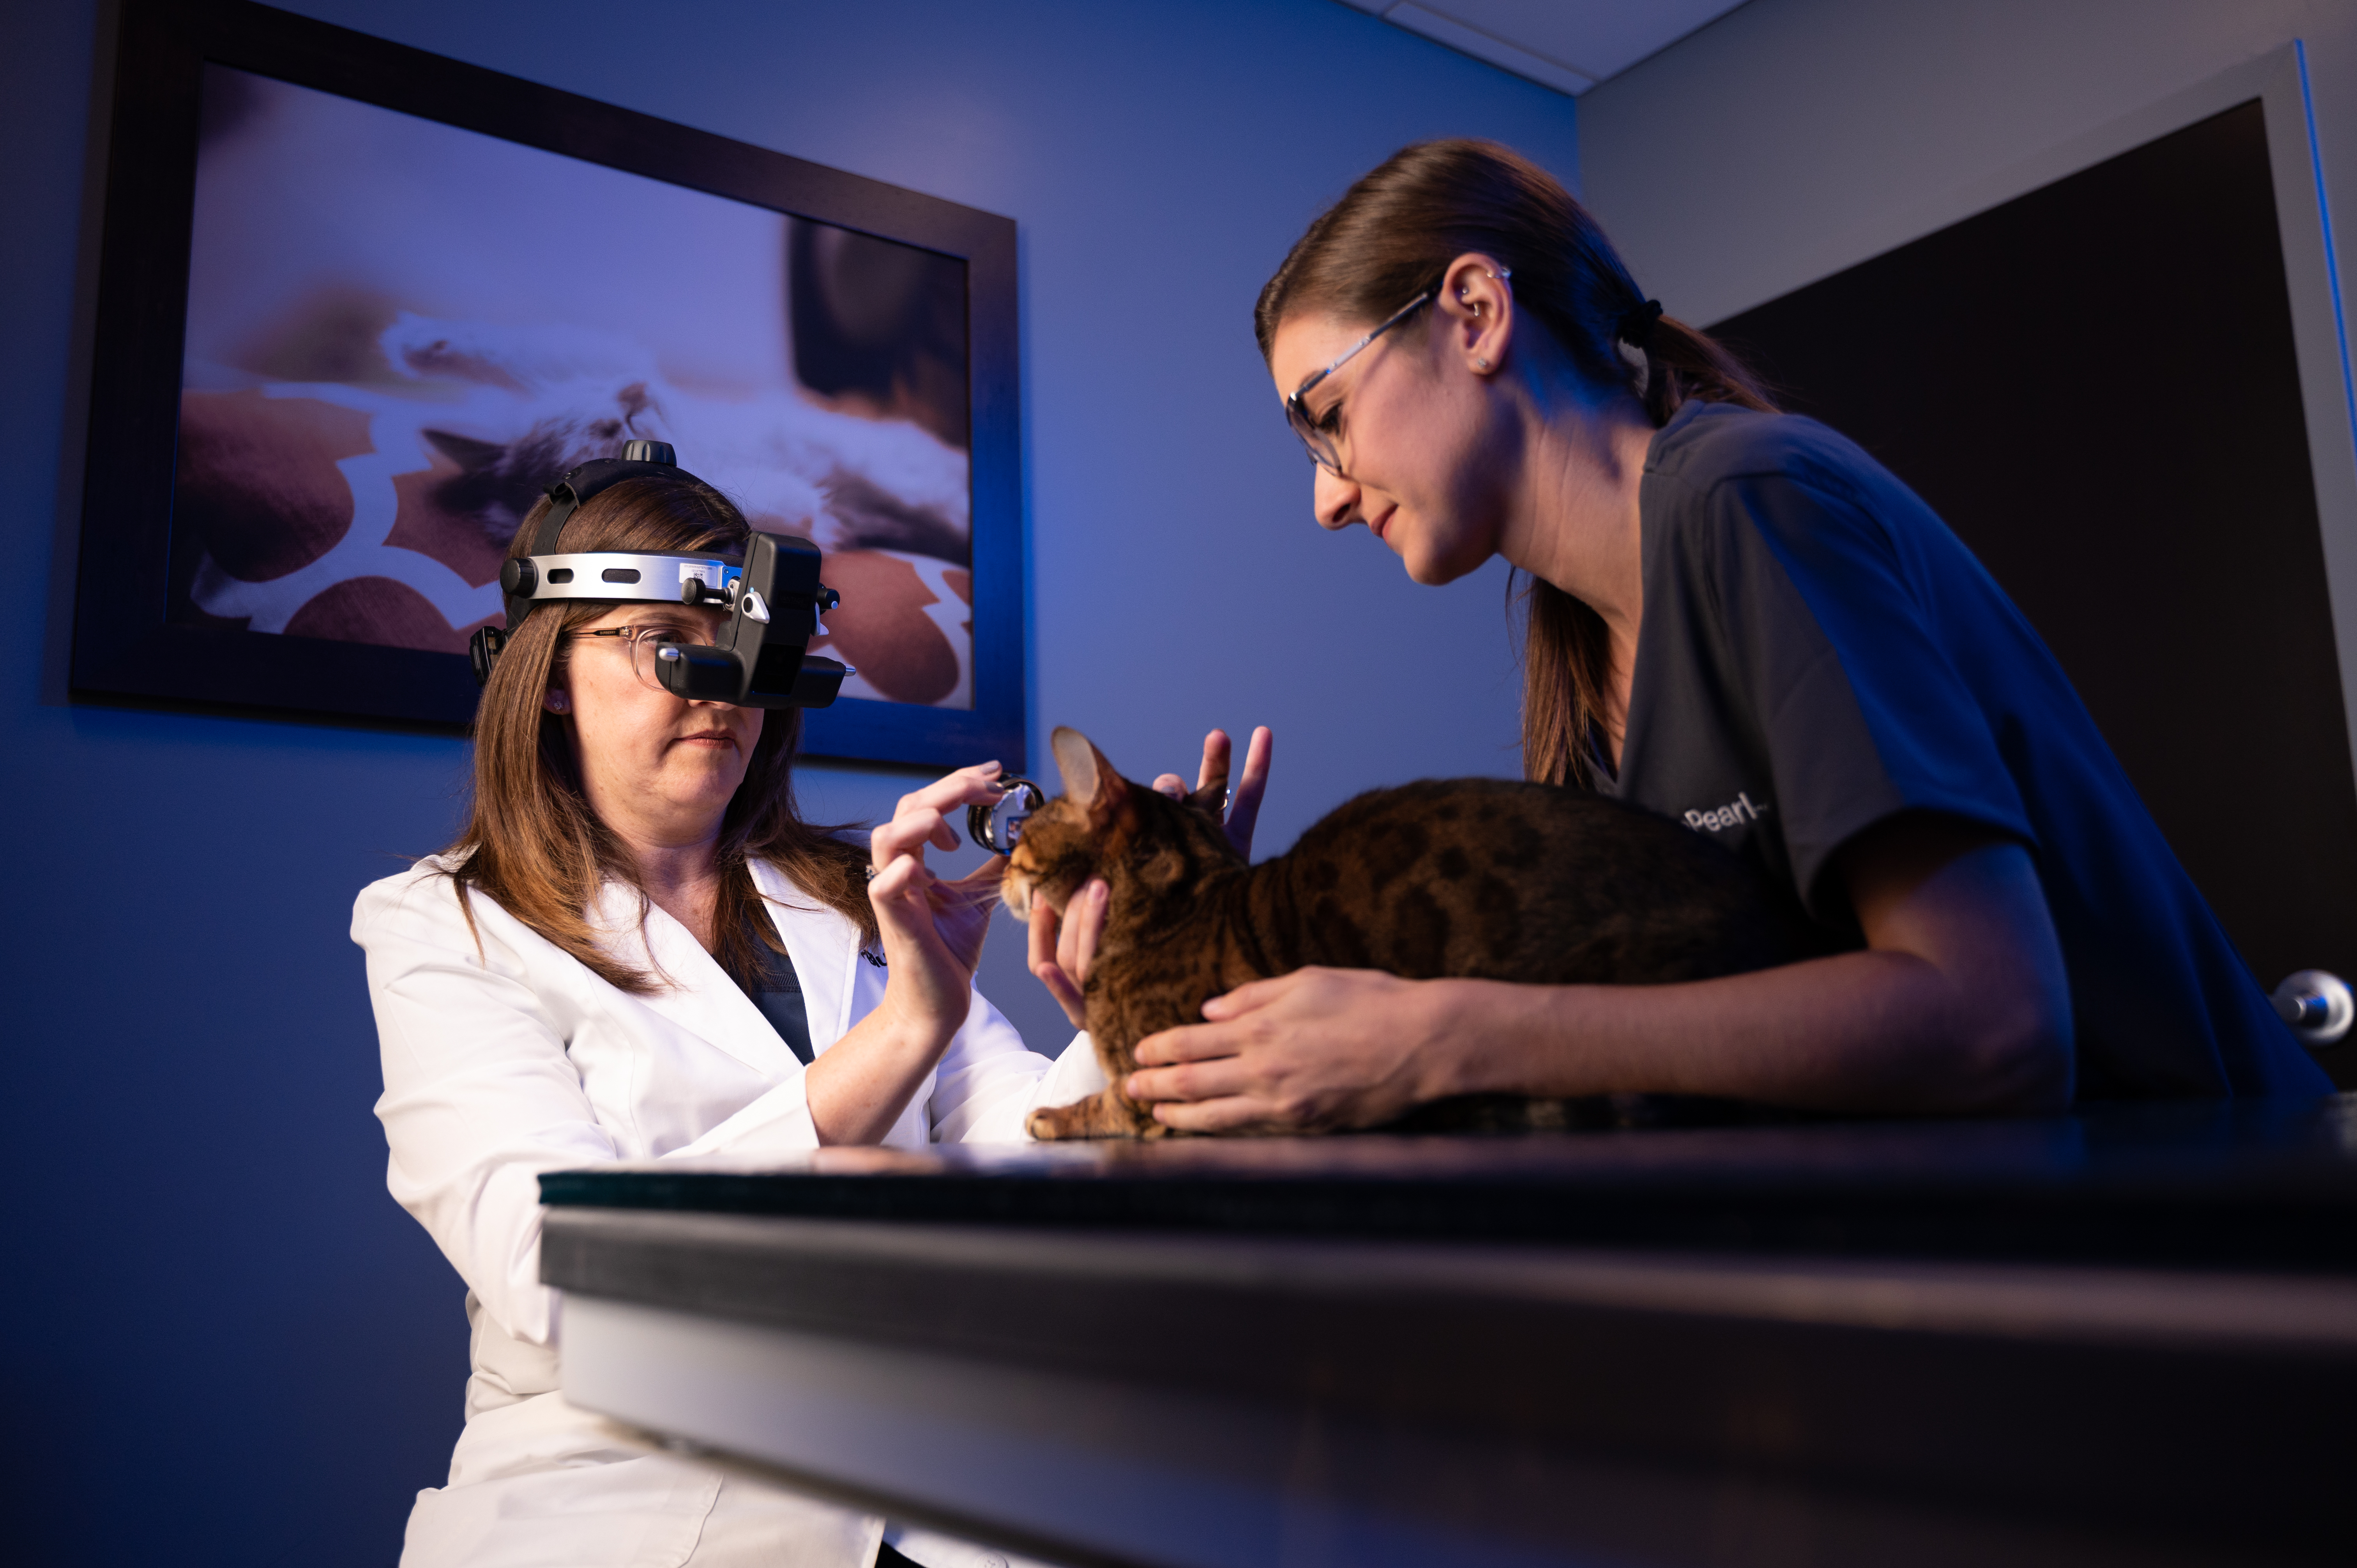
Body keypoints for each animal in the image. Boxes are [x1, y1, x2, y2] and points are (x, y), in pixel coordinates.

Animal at [1004, 721, 1810, 1136]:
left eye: (1020, 837)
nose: (1003, 867)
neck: (1182, 904)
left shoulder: (1163, 1085)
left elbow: (1105, 1101)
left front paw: (1049, 1114)